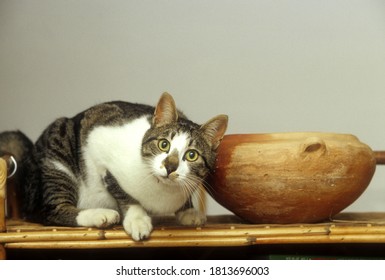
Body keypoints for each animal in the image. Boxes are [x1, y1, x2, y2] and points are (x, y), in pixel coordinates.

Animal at [0, 92, 226, 241]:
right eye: (164, 144)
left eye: (191, 155)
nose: (170, 167)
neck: (161, 191)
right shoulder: (96, 145)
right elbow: (120, 190)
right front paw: (137, 218)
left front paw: (188, 210)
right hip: (57, 157)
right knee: (49, 210)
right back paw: (99, 215)